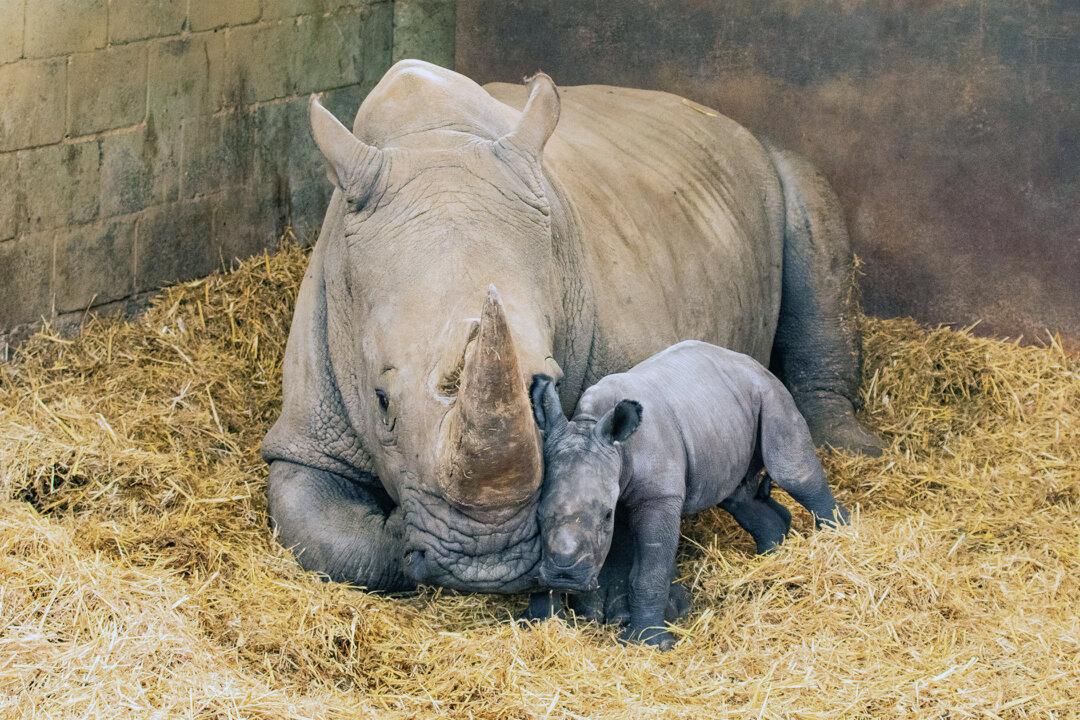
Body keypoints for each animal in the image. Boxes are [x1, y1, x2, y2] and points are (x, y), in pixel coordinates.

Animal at [261, 60, 881, 610]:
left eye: (551, 383)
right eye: (381, 400)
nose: (483, 564)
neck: (433, 137)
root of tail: (722, 118)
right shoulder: (308, 433)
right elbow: (330, 539)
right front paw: (396, 531)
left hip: (776, 163)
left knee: (810, 211)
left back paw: (855, 448)